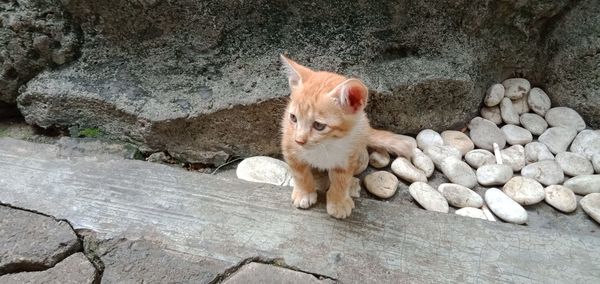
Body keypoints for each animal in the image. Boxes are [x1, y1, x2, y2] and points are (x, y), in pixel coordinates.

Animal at [278, 56, 414, 220]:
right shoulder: (289, 146)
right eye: (293, 118)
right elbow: (300, 173)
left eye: (319, 125)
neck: (325, 145)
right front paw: (305, 193)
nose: (299, 140)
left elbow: (341, 179)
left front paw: (338, 202)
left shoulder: (348, 155)